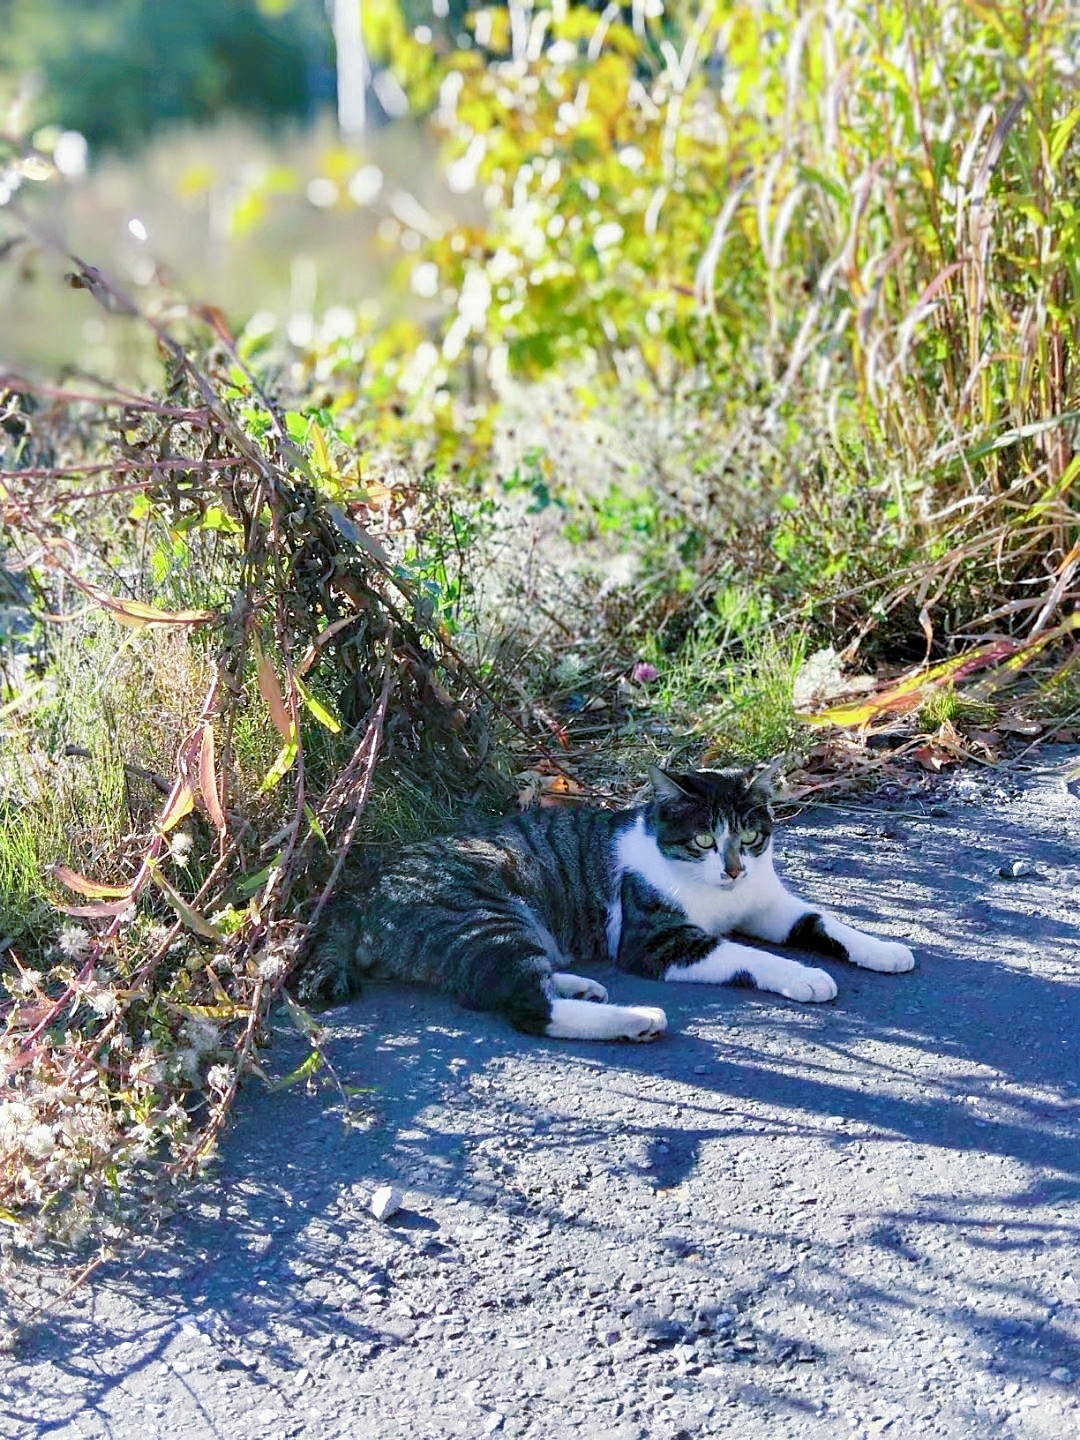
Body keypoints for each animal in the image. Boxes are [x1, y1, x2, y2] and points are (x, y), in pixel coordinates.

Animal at [298, 771, 921, 1042]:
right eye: (704, 839)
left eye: (749, 838)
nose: (733, 870)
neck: (722, 897)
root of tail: (365, 890)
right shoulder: (656, 941)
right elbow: (752, 955)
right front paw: (805, 977)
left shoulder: (767, 904)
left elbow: (824, 920)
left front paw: (884, 948)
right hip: (485, 913)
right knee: (522, 1002)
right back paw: (636, 1019)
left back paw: (582, 986)